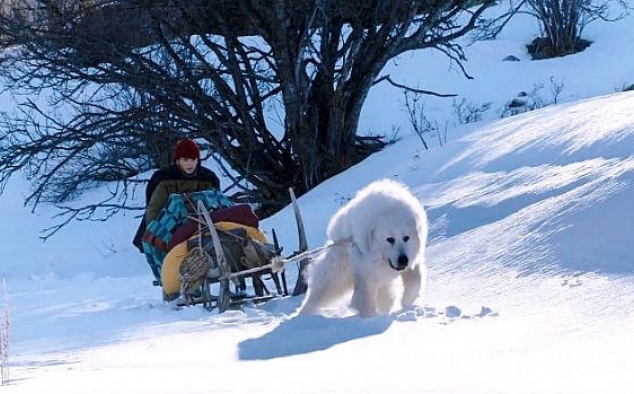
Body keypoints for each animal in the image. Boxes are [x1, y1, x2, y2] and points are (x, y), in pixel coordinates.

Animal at [298, 179, 428, 318]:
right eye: (390, 239)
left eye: (406, 238)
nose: (403, 260)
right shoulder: (365, 272)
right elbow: (366, 298)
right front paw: (368, 318)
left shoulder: (413, 262)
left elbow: (415, 284)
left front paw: (408, 304)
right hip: (337, 276)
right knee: (319, 293)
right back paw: (301, 315)